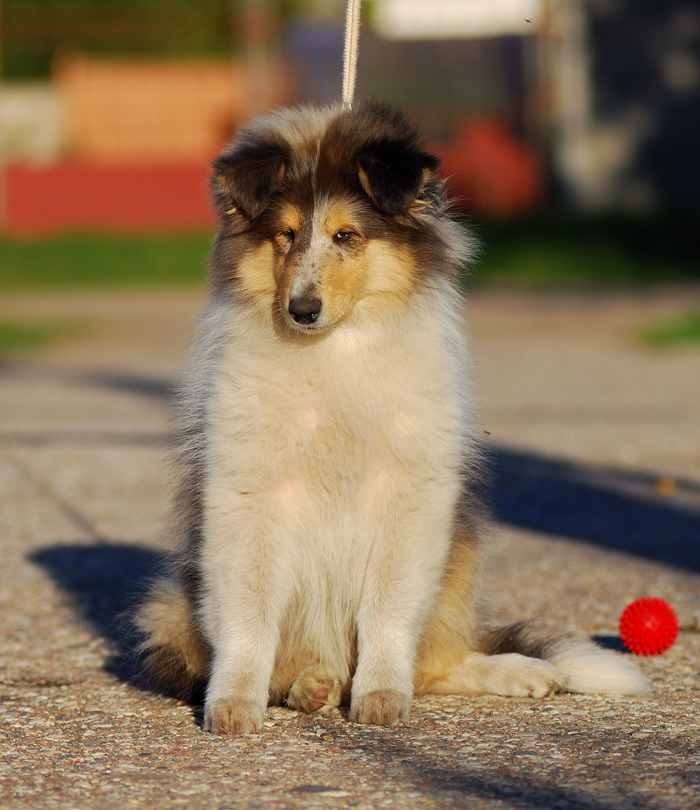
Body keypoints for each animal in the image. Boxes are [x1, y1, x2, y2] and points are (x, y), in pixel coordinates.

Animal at [134, 101, 648, 732]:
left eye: (346, 236)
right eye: (285, 236)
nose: (302, 310)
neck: (332, 353)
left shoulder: (409, 493)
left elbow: (388, 610)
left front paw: (379, 694)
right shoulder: (247, 492)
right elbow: (249, 616)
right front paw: (232, 703)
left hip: (456, 559)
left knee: (435, 663)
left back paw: (520, 671)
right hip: (175, 606)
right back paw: (310, 685)